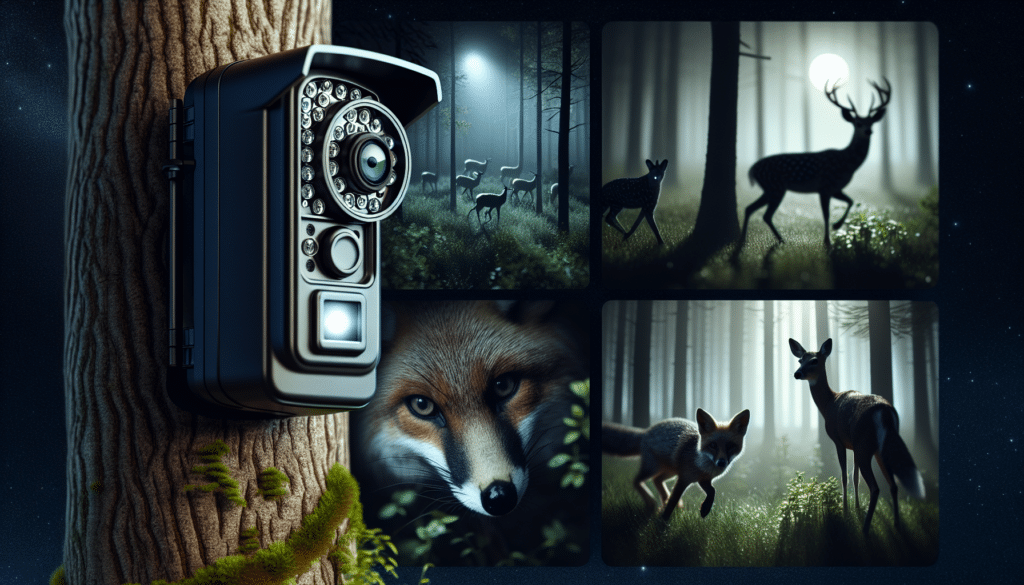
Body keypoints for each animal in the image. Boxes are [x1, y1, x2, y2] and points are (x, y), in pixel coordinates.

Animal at [603, 408, 751, 521]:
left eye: (730, 446)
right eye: (713, 445)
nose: (721, 462)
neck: (701, 465)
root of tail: (646, 431)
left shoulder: (703, 480)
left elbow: (712, 491)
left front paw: (705, 508)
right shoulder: (683, 479)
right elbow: (673, 501)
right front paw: (663, 523)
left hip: (670, 472)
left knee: (657, 480)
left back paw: (663, 502)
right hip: (653, 468)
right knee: (637, 481)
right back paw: (651, 503)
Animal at [742, 78, 891, 248]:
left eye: (871, 122)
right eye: (858, 123)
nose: (868, 131)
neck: (847, 163)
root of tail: (752, 169)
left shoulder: (836, 188)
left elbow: (851, 201)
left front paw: (836, 226)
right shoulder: (825, 186)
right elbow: (826, 214)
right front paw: (828, 239)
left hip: (770, 188)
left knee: (750, 209)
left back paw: (748, 241)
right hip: (775, 186)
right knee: (765, 214)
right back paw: (778, 240)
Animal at [789, 338, 925, 535]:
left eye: (814, 360)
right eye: (800, 360)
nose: (797, 373)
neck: (828, 403)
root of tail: (884, 411)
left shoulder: (839, 441)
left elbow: (845, 476)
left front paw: (846, 510)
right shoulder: (852, 444)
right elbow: (855, 477)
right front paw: (857, 508)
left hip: (865, 445)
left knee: (875, 488)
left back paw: (866, 529)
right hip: (880, 447)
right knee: (893, 485)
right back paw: (896, 525)